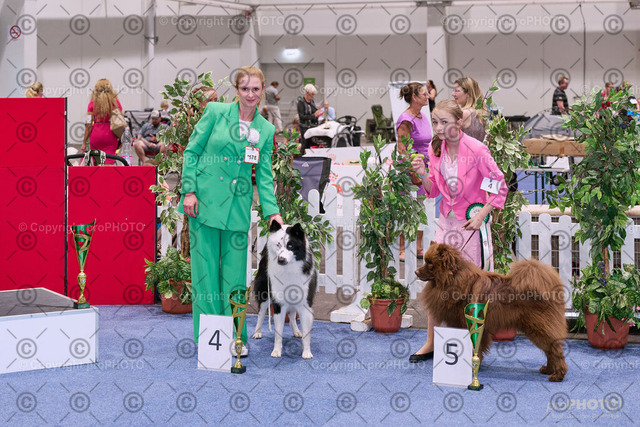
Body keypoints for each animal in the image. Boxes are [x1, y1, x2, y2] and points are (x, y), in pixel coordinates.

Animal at [252, 221, 318, 359]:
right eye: (278, 244)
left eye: (290, 245)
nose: (281, 259)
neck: (289, 268)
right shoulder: (279, 303)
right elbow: (278, 332)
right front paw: (276, 351)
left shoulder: (305, 303)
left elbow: (306, 333)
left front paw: (306, 352)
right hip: (264, 292)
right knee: (261, 312)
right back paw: (257, 332)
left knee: (292, 316)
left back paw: (297, 331)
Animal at [416, 243, 568, 382]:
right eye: (426, 261)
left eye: (430, 264)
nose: (416, 272)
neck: (453, 280)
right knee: (550, 350)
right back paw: (548, 370)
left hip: (538, 328)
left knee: (555, 350)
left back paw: (557, 375)